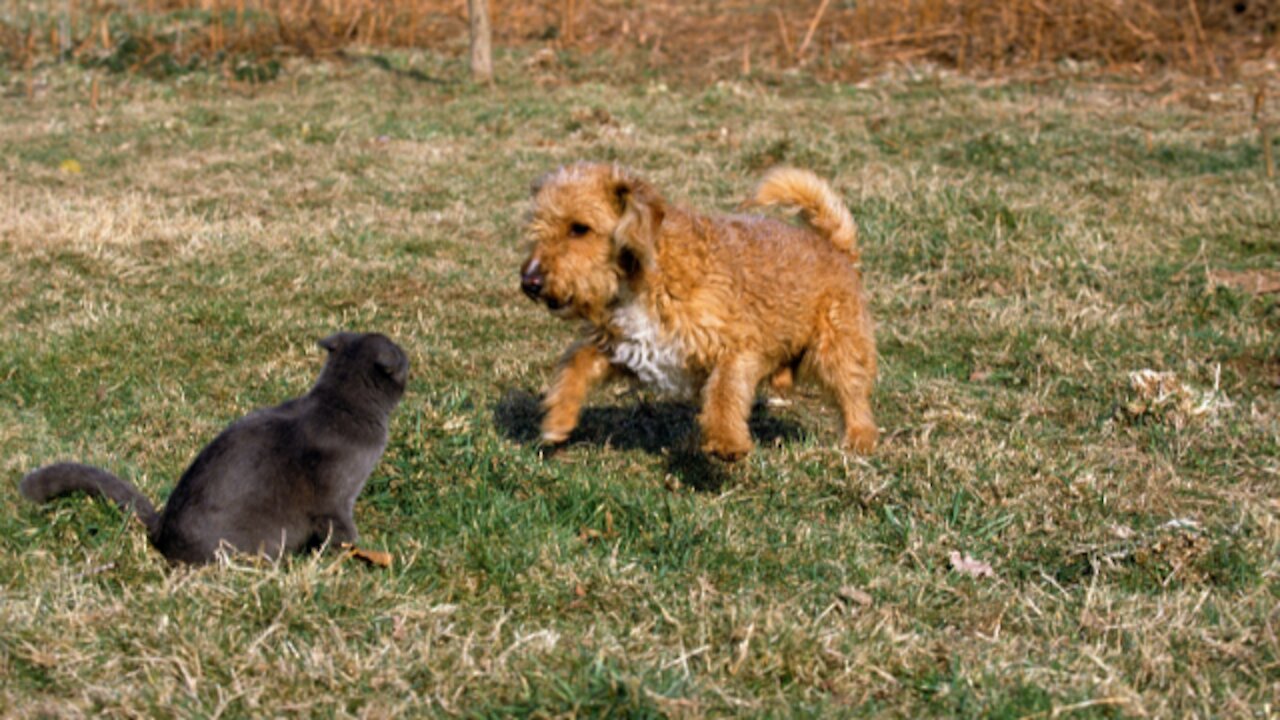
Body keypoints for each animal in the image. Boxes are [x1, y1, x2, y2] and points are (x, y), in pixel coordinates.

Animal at [21, 330, 409, 561]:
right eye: (403, 359)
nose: (411, 359)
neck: (339, 403)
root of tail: (161, 528)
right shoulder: (336, 501)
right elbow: (344, 533)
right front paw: (363, 553)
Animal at [514, 161, 875, 458]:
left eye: (579, 228)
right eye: (538, 224)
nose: (529, 282)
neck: (647, 275)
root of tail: (836, 248)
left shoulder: (736, 347)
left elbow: (724, 390)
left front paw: (727, 442)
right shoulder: (625, 346)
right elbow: (576, 363)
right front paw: (557, 419)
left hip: (837, 350)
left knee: (854, 398)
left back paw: (860, 441)